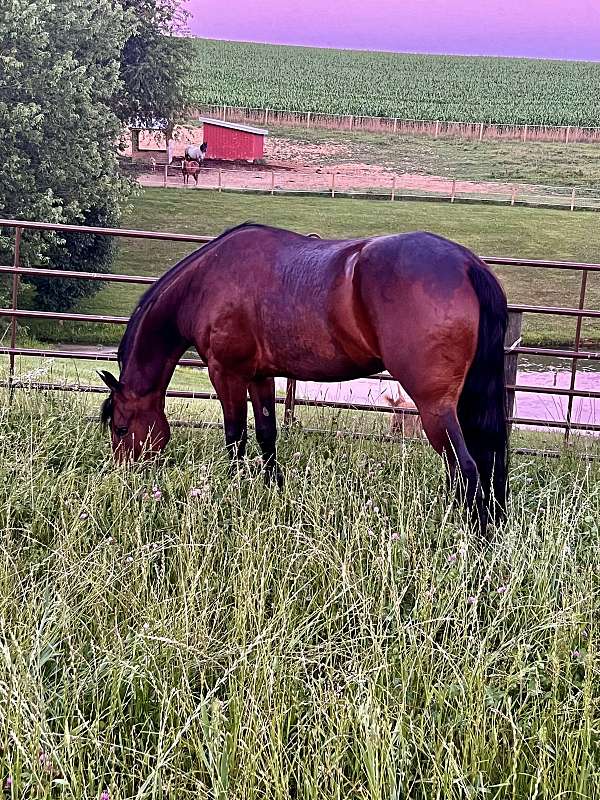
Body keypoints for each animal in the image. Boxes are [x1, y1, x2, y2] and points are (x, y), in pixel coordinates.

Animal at [101, 223, 508, 532]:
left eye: (120, 427)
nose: (122, 476)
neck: (204, 283)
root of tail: (467, 264)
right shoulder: (260, 376)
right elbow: (266, 434)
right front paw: (272, 488)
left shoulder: (226, 372)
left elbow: (235, 437)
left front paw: (233, 491)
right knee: (484, 462)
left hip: (434, 406)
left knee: (466, 469)